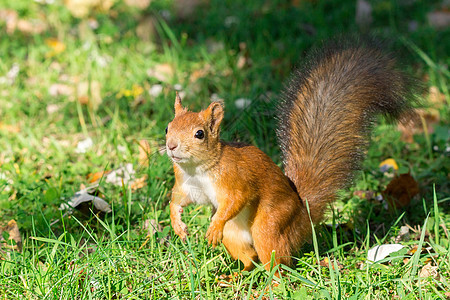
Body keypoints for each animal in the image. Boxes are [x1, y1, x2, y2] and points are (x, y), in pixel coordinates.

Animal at [164, 37, 414, 272]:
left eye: (199, 134)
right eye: (167, 127)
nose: (171, 146)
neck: (197, 168)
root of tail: (302, 217)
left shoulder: (234, 177)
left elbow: (237, 199)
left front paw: (214, 227)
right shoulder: (187, 185)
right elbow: (177, 200)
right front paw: (177, 224)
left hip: (270, 224)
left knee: (277, 263)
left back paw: (270, 283)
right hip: (234, 235)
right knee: (250, 258)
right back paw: (237, 275)